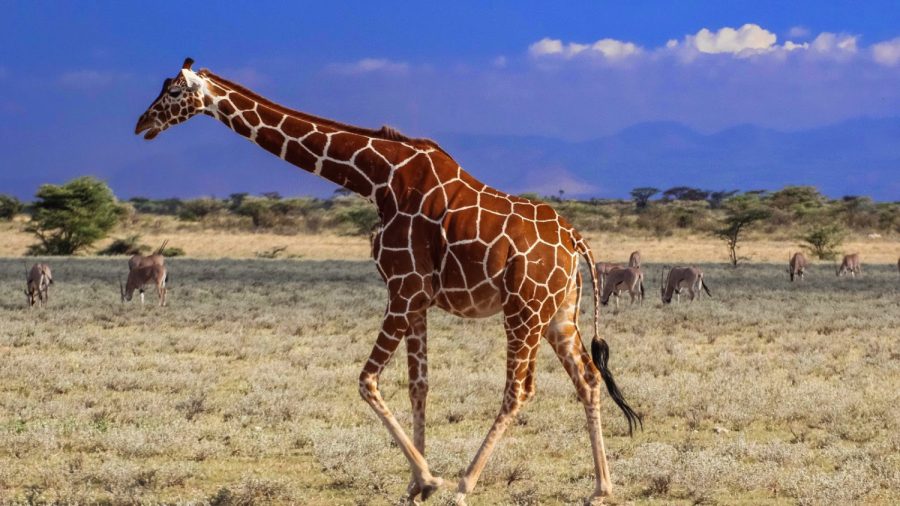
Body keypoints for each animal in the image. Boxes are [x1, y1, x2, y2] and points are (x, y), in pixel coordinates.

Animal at [135, 58, 641, 505]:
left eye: (175, 92)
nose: (142, 124)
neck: (377, 179)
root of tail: (575, 240)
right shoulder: (417, 299)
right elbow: (419, 386)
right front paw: (416, 485)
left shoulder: (402, 288)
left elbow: (367, 381)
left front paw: (430, 479)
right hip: (560, 313)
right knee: (588, 379)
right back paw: (602, 488)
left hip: (523, 310)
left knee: (519, 390)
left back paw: (465, 484)